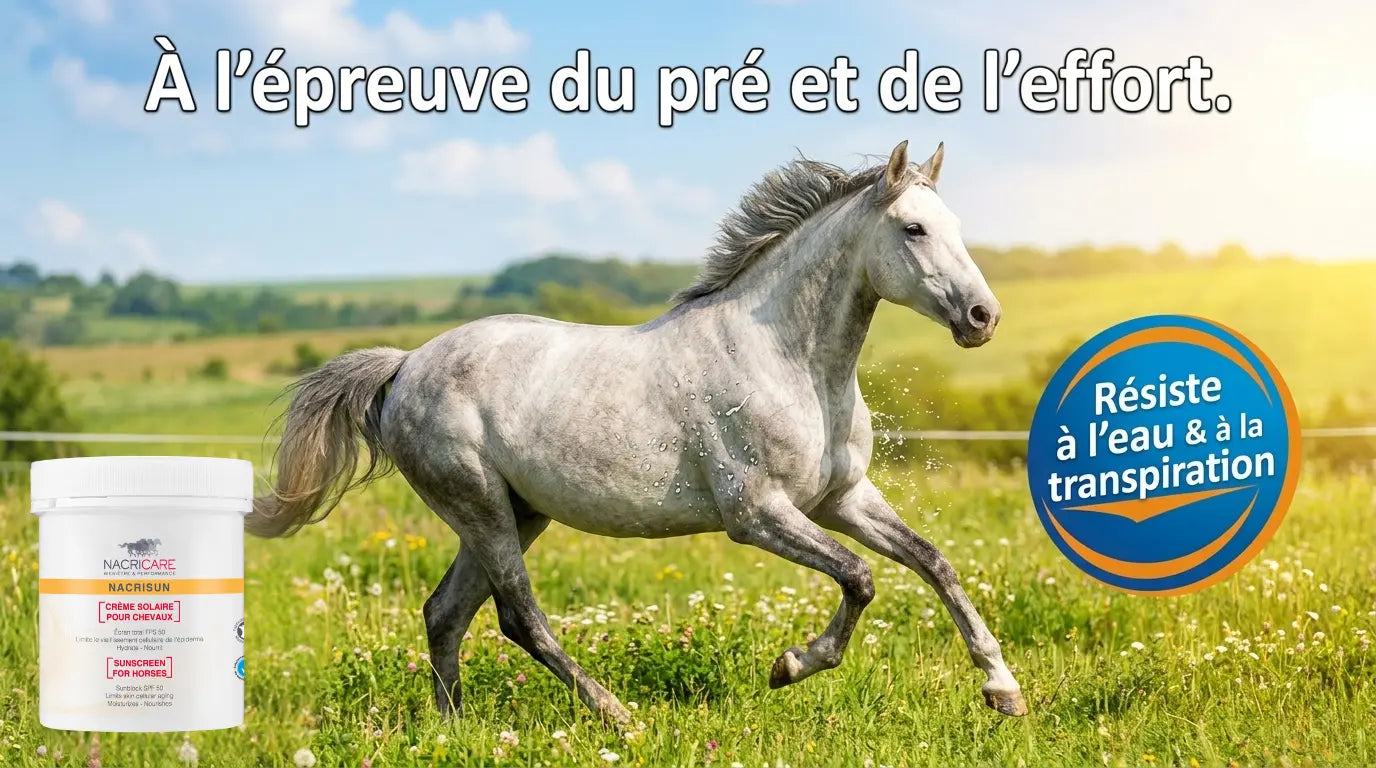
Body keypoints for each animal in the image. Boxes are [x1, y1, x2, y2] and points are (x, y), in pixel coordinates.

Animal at [250, 140, 1027, 723]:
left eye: (955, 225)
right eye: (913, 229)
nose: (984, 317)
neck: (792, 361)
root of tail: (406, 363)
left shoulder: (843, 499)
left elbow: (934, 562)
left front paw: (1003, 690)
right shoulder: (757, 515)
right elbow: (861, 578)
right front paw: (790, 666)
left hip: (512, 513)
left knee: (445, 613)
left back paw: (454, 729)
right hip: (481, 507)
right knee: (517, 617)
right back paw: (616, 714)